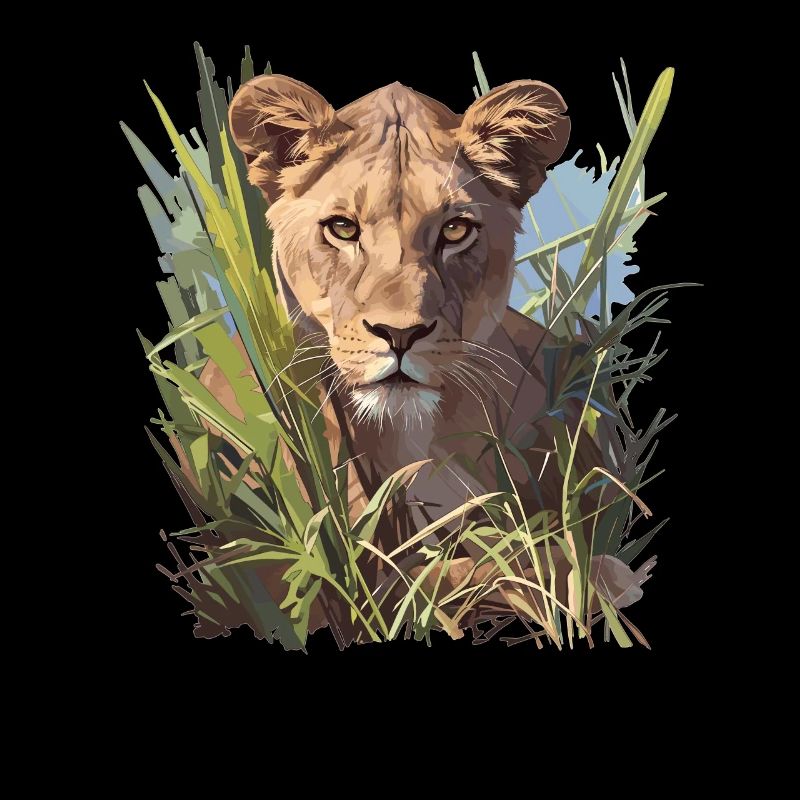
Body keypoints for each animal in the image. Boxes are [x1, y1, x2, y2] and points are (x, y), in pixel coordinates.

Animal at [199, 74, 653, 634]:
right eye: (343, 228)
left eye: (455, 230)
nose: (399, 334)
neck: (408, 433)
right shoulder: (321, 572)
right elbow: (449, 575)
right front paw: (586, 575)